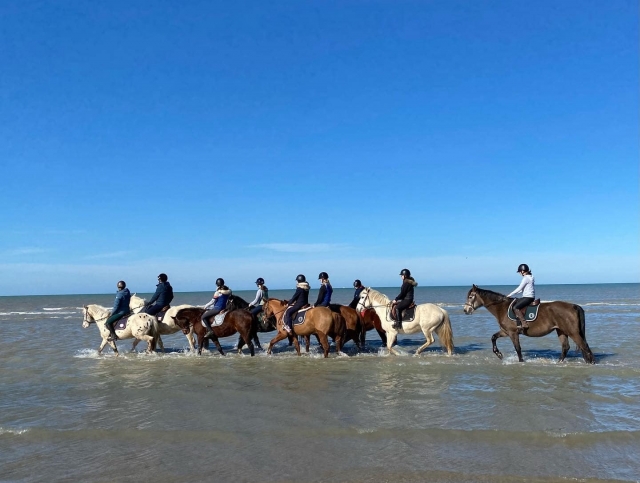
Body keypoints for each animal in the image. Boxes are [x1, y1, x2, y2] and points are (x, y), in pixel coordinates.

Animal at [463, 285, 595, 363]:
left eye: (471, 297)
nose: (465, 310)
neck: (502, 307)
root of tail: (573, 306)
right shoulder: (505, 332)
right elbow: (493, 337)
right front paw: (499, 354)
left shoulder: (513, 333)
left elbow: (518, 348)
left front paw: (521, 362)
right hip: (561, 331)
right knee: (566, 347)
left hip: (572, 332)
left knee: (584, 347)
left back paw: (591, 363)